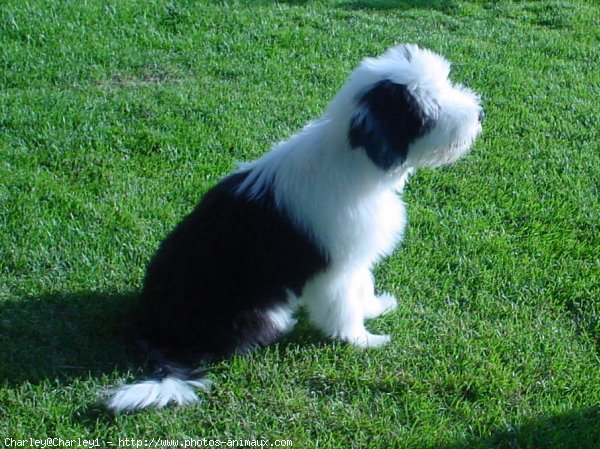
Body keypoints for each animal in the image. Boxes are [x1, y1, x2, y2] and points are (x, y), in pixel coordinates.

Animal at [106, 43, 482, 412]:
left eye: (444, 84)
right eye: (429, 106)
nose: (479, 114)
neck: (354, 160)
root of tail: (152, 330)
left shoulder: (355, 254)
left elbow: (363, 285)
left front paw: (375, 307)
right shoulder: (335, 270)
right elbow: (344, 305)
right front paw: (362, 339)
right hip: (253, 313)